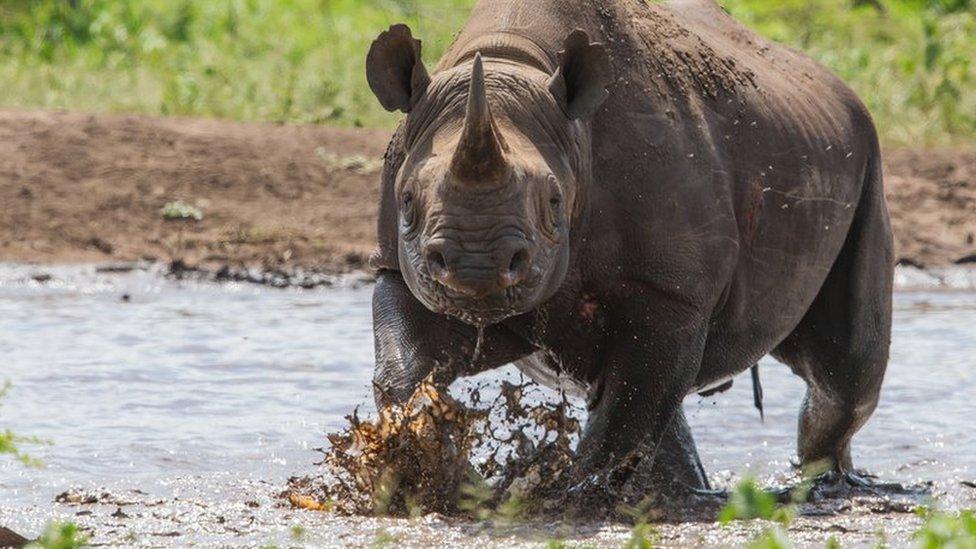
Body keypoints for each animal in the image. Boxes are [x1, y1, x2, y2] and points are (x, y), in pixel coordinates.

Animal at [364, 0, 892, 500]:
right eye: (406, 200)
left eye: (554, 202)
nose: (475, 269)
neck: (510, 62)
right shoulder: (404, 269)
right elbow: (404, 370)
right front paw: (439, 471)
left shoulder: (671, 289)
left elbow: (632, 402)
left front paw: (577, 493)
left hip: (864, 156)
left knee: (841, 374)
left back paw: (827, 483)